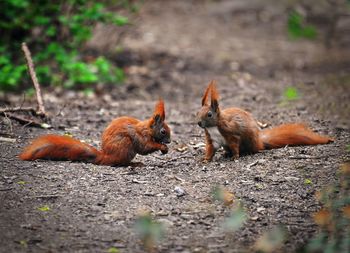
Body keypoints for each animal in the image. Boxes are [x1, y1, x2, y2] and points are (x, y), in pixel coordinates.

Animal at [20, 100, 171, 167]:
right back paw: (135, 164)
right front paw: (162, 147)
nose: (169, 141)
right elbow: (145, 147)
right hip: (125, 146)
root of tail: (107, 156)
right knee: (121, 163)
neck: (148, 129)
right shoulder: (141, 136)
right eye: (163, 131)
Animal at [197, 80, 334, 161]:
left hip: (250, 141)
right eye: (197, 112)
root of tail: (259, 141)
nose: (198, 123)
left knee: (254, 149)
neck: (213, 127)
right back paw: (226, 153)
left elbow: (235, 145)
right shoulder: (212, 139)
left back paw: (246, 152)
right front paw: (205, 160)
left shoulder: (231, 133)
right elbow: (210, 149)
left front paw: (235, 156)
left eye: (209, 114)